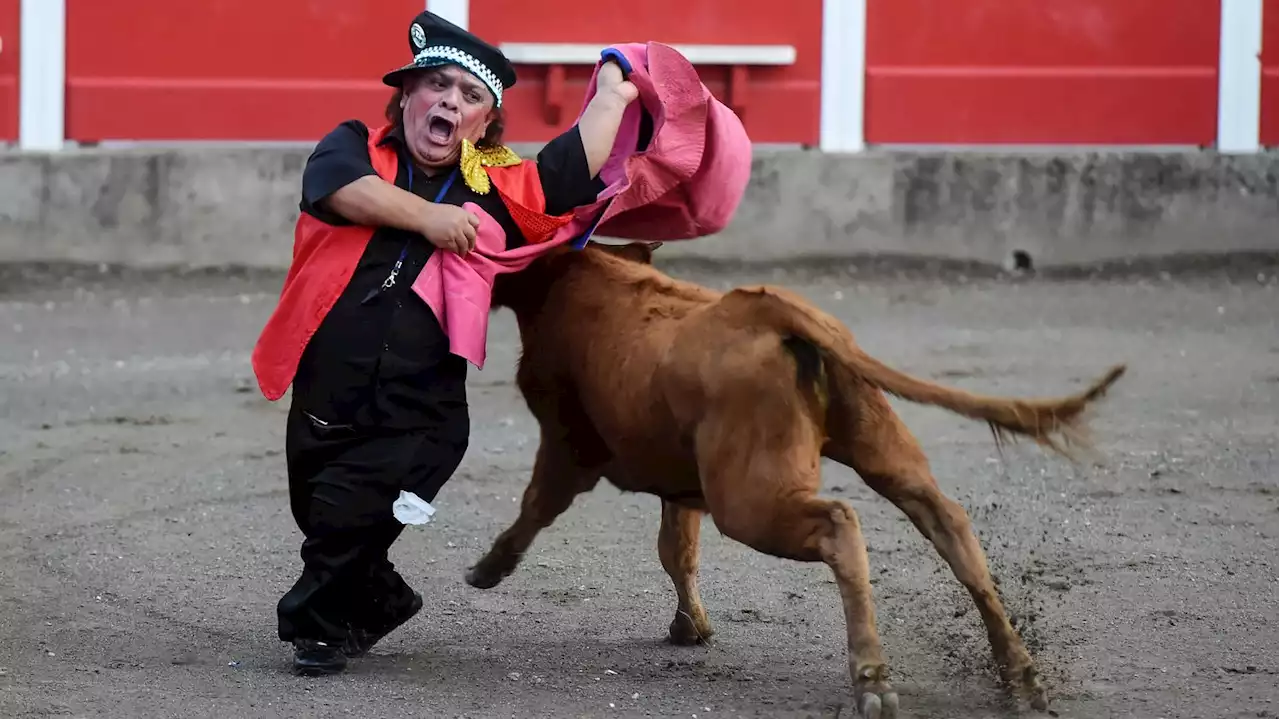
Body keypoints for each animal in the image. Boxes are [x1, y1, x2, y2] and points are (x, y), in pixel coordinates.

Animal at [465, 239, 1126, 711]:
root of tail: (773, 307)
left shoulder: (566, 444)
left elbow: (538, 506)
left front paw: (487, 569)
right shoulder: (682, 480)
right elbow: (677, 548)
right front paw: (690, 627)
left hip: (748, 500)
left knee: (840, 523)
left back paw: (872, 682)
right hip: (879, 446)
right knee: (947, 522)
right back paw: (1020, 673)